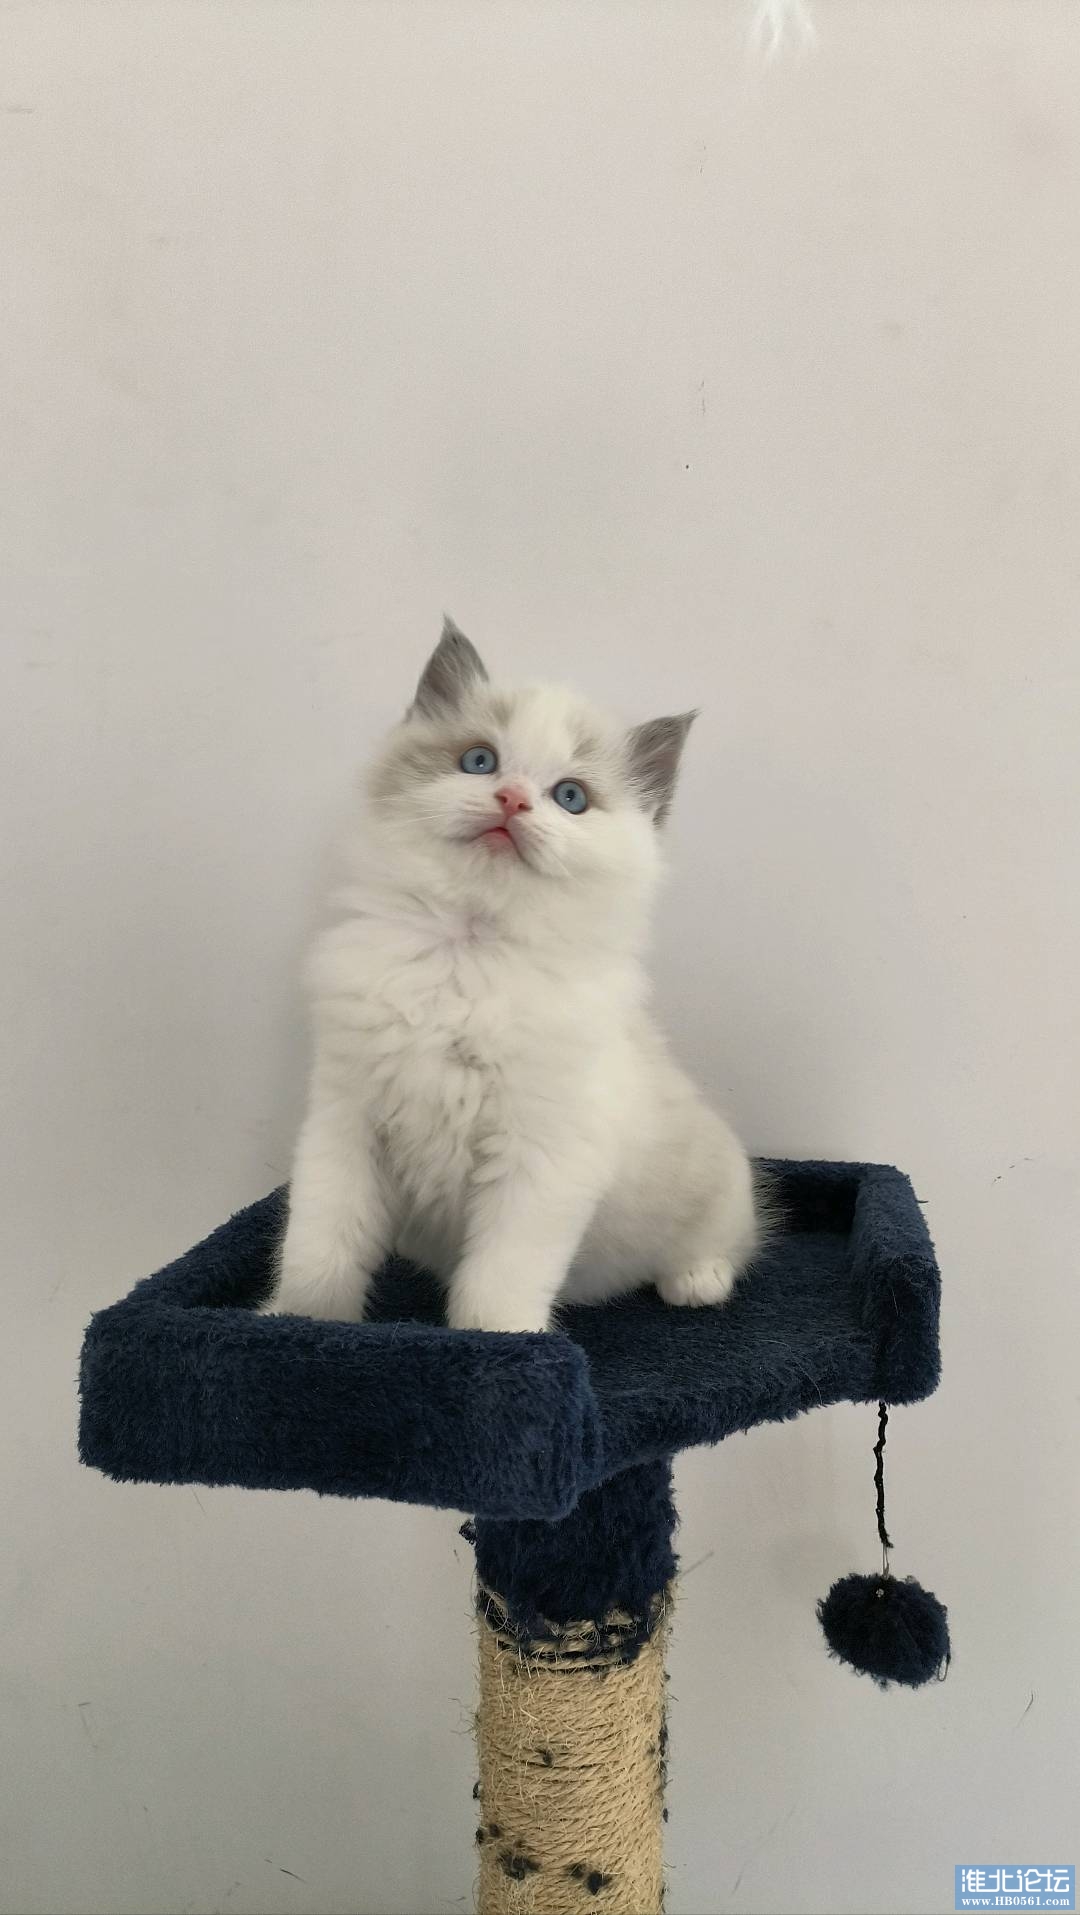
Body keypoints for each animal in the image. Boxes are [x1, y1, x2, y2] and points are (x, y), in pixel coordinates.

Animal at [262, 618, 763, 1333]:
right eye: (480, 762)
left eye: (570, 798)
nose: (513, 799)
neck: (466, 955)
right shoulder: (345, 1120)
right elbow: (319, 1247)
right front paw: (298, 1326)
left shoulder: (542, 1157)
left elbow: (500, 1280)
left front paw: (503, 1348)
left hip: (720, 1182)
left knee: (725, 1242)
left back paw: (697, 1281)